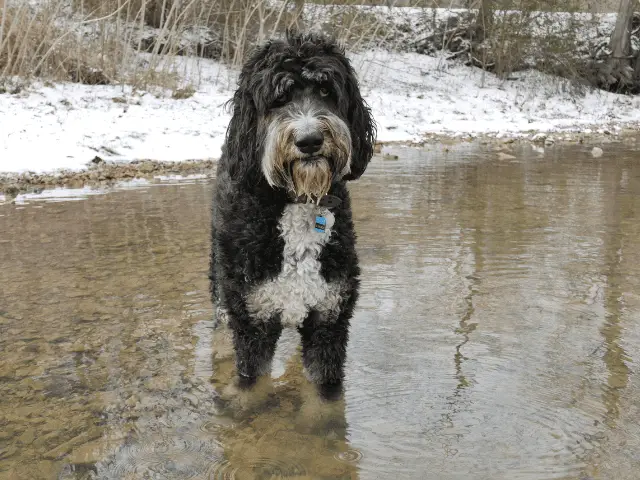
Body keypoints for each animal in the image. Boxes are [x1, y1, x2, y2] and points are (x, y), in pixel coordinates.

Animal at [210, 29, 376, 398]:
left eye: (326, 90)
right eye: (278, 97)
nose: (310, 139)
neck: (298, 201)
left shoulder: (328, 320)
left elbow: (324, 398)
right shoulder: (253, 322)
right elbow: (251, 386)